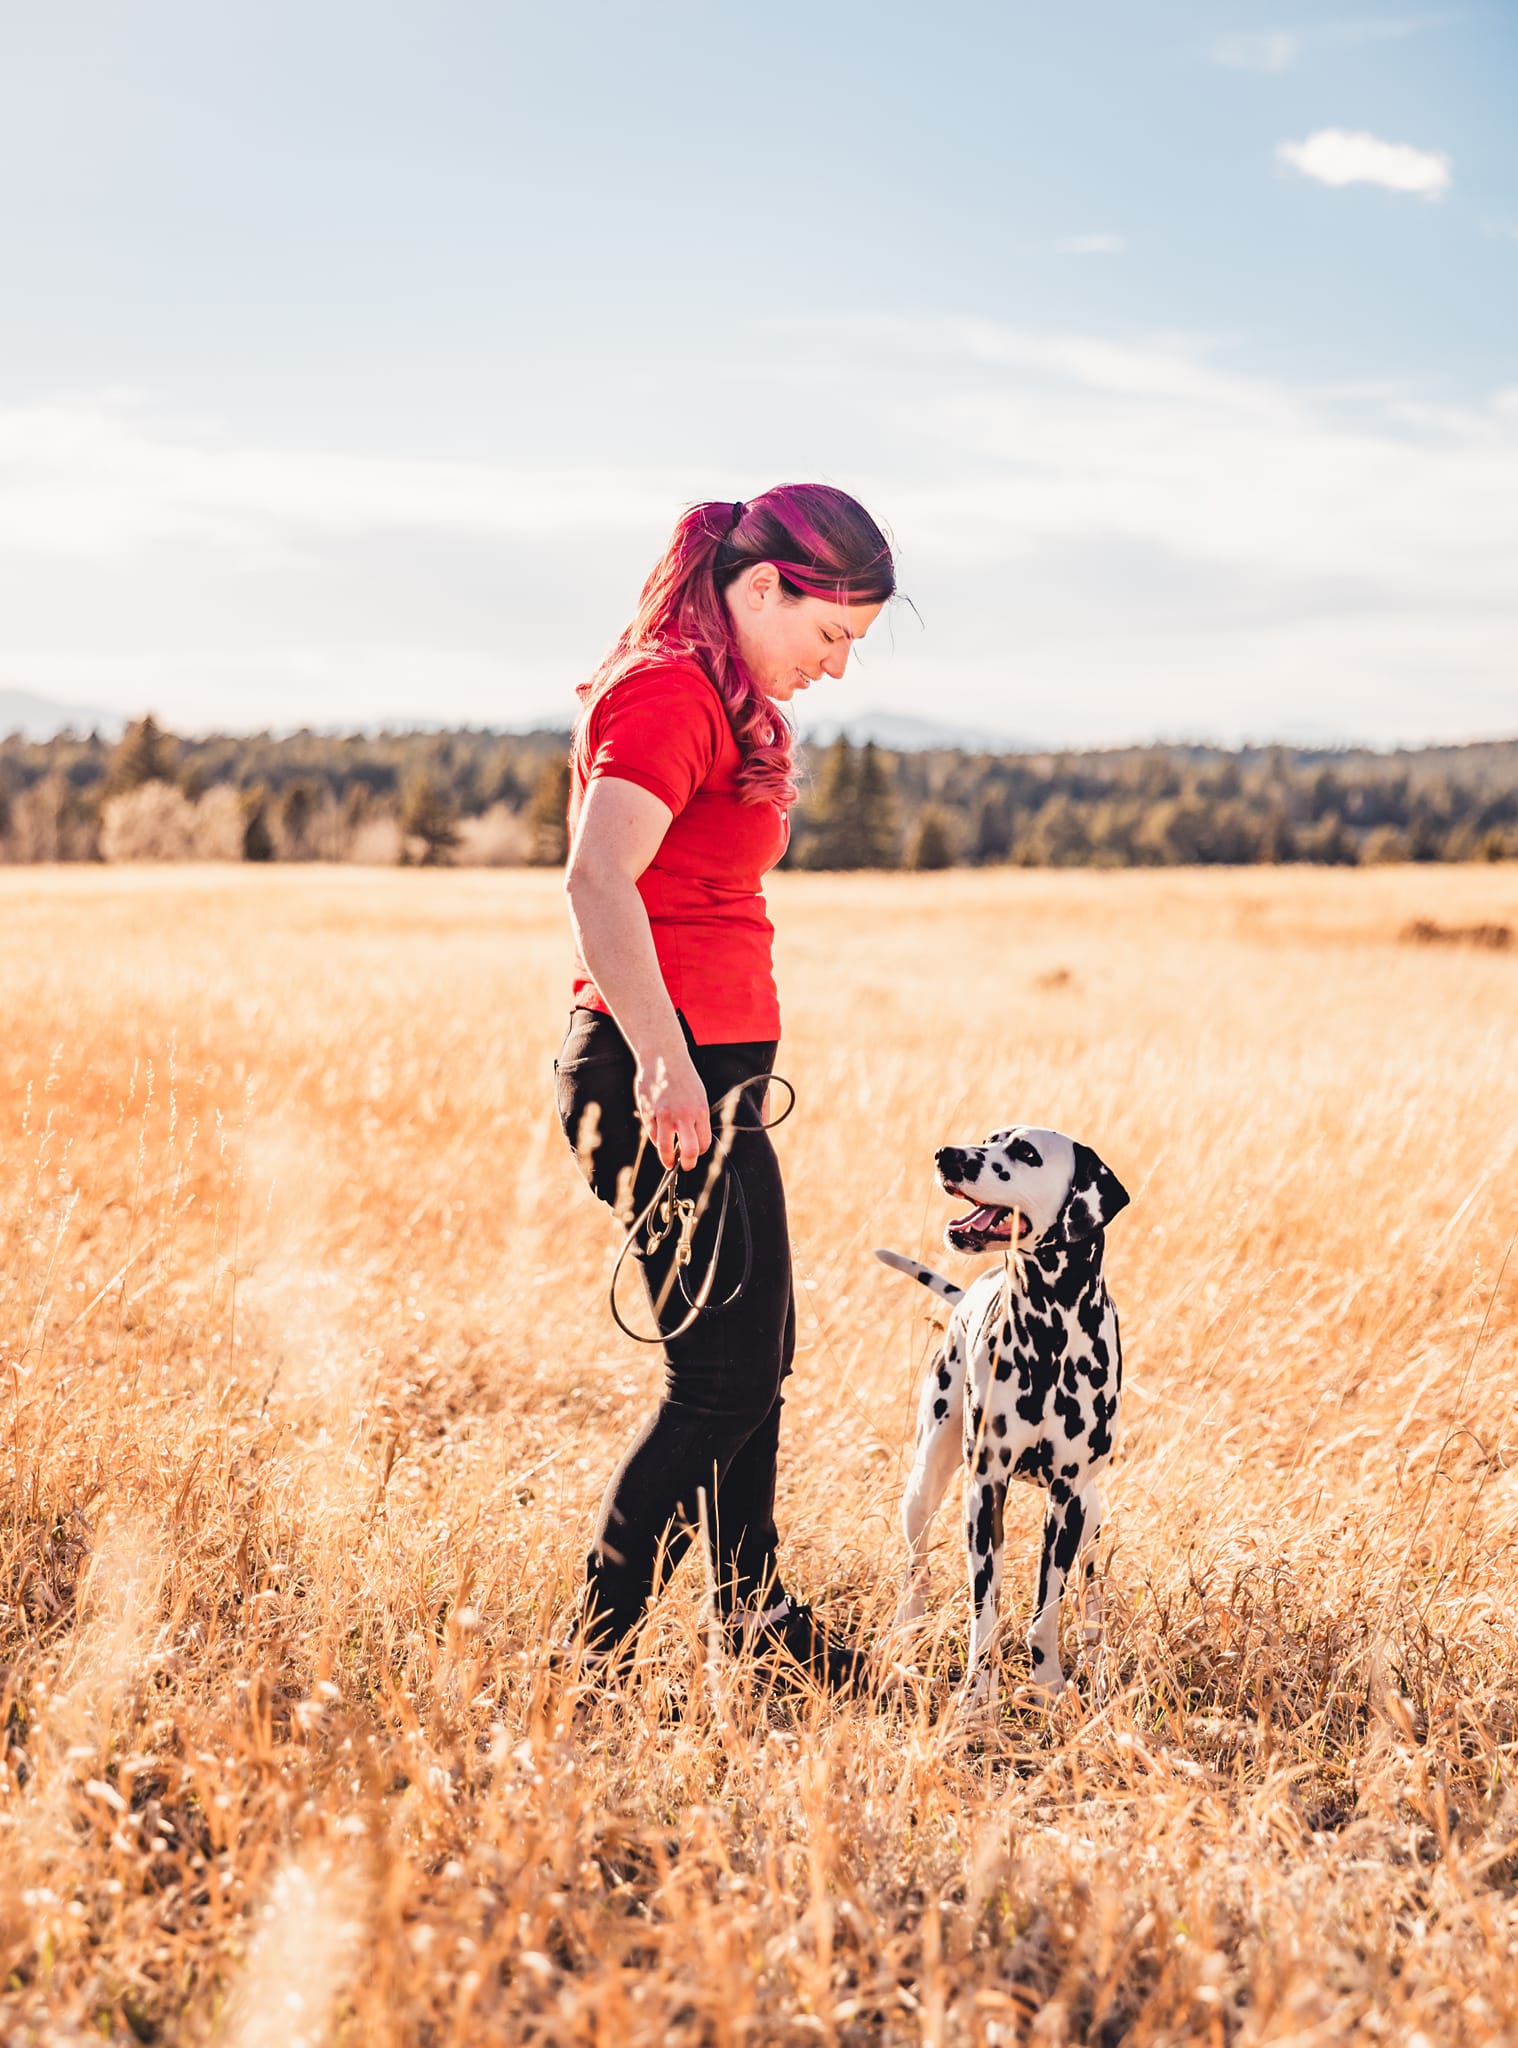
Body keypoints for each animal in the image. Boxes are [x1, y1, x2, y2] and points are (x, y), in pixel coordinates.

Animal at [876, 1130, 1122, 1703]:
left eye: (1026, 1153)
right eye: (989, 1138)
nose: (946, 1155)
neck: (1050, 1333)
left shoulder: (1067, 1501)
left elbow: (1047, 1611)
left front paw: (1049, 1686)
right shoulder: (984, 1492)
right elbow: (984, 1609)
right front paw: (976, 1698)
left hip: (1093, 1513)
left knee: (1091, 1595)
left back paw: (1097, 1660)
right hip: (923, 1486)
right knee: (916, 1573)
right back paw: (903, 1644)